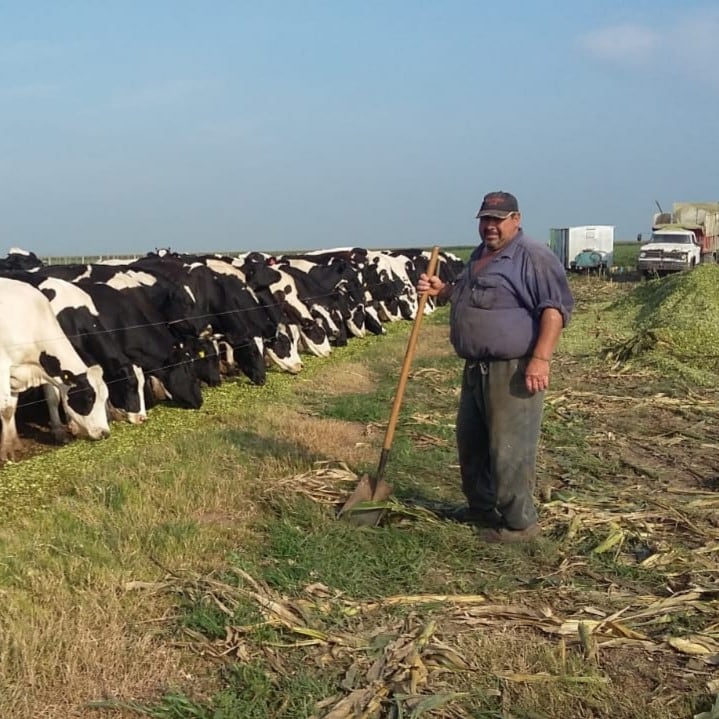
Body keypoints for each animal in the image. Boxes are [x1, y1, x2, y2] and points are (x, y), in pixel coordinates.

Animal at [0, 278, 111, 458]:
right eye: (88, 398)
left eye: (105, 396)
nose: (105, 433)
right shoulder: (3, 368)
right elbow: (6, 409)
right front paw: (7, 451)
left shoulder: (19, 373)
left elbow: (18, 405)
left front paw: (15, 443)